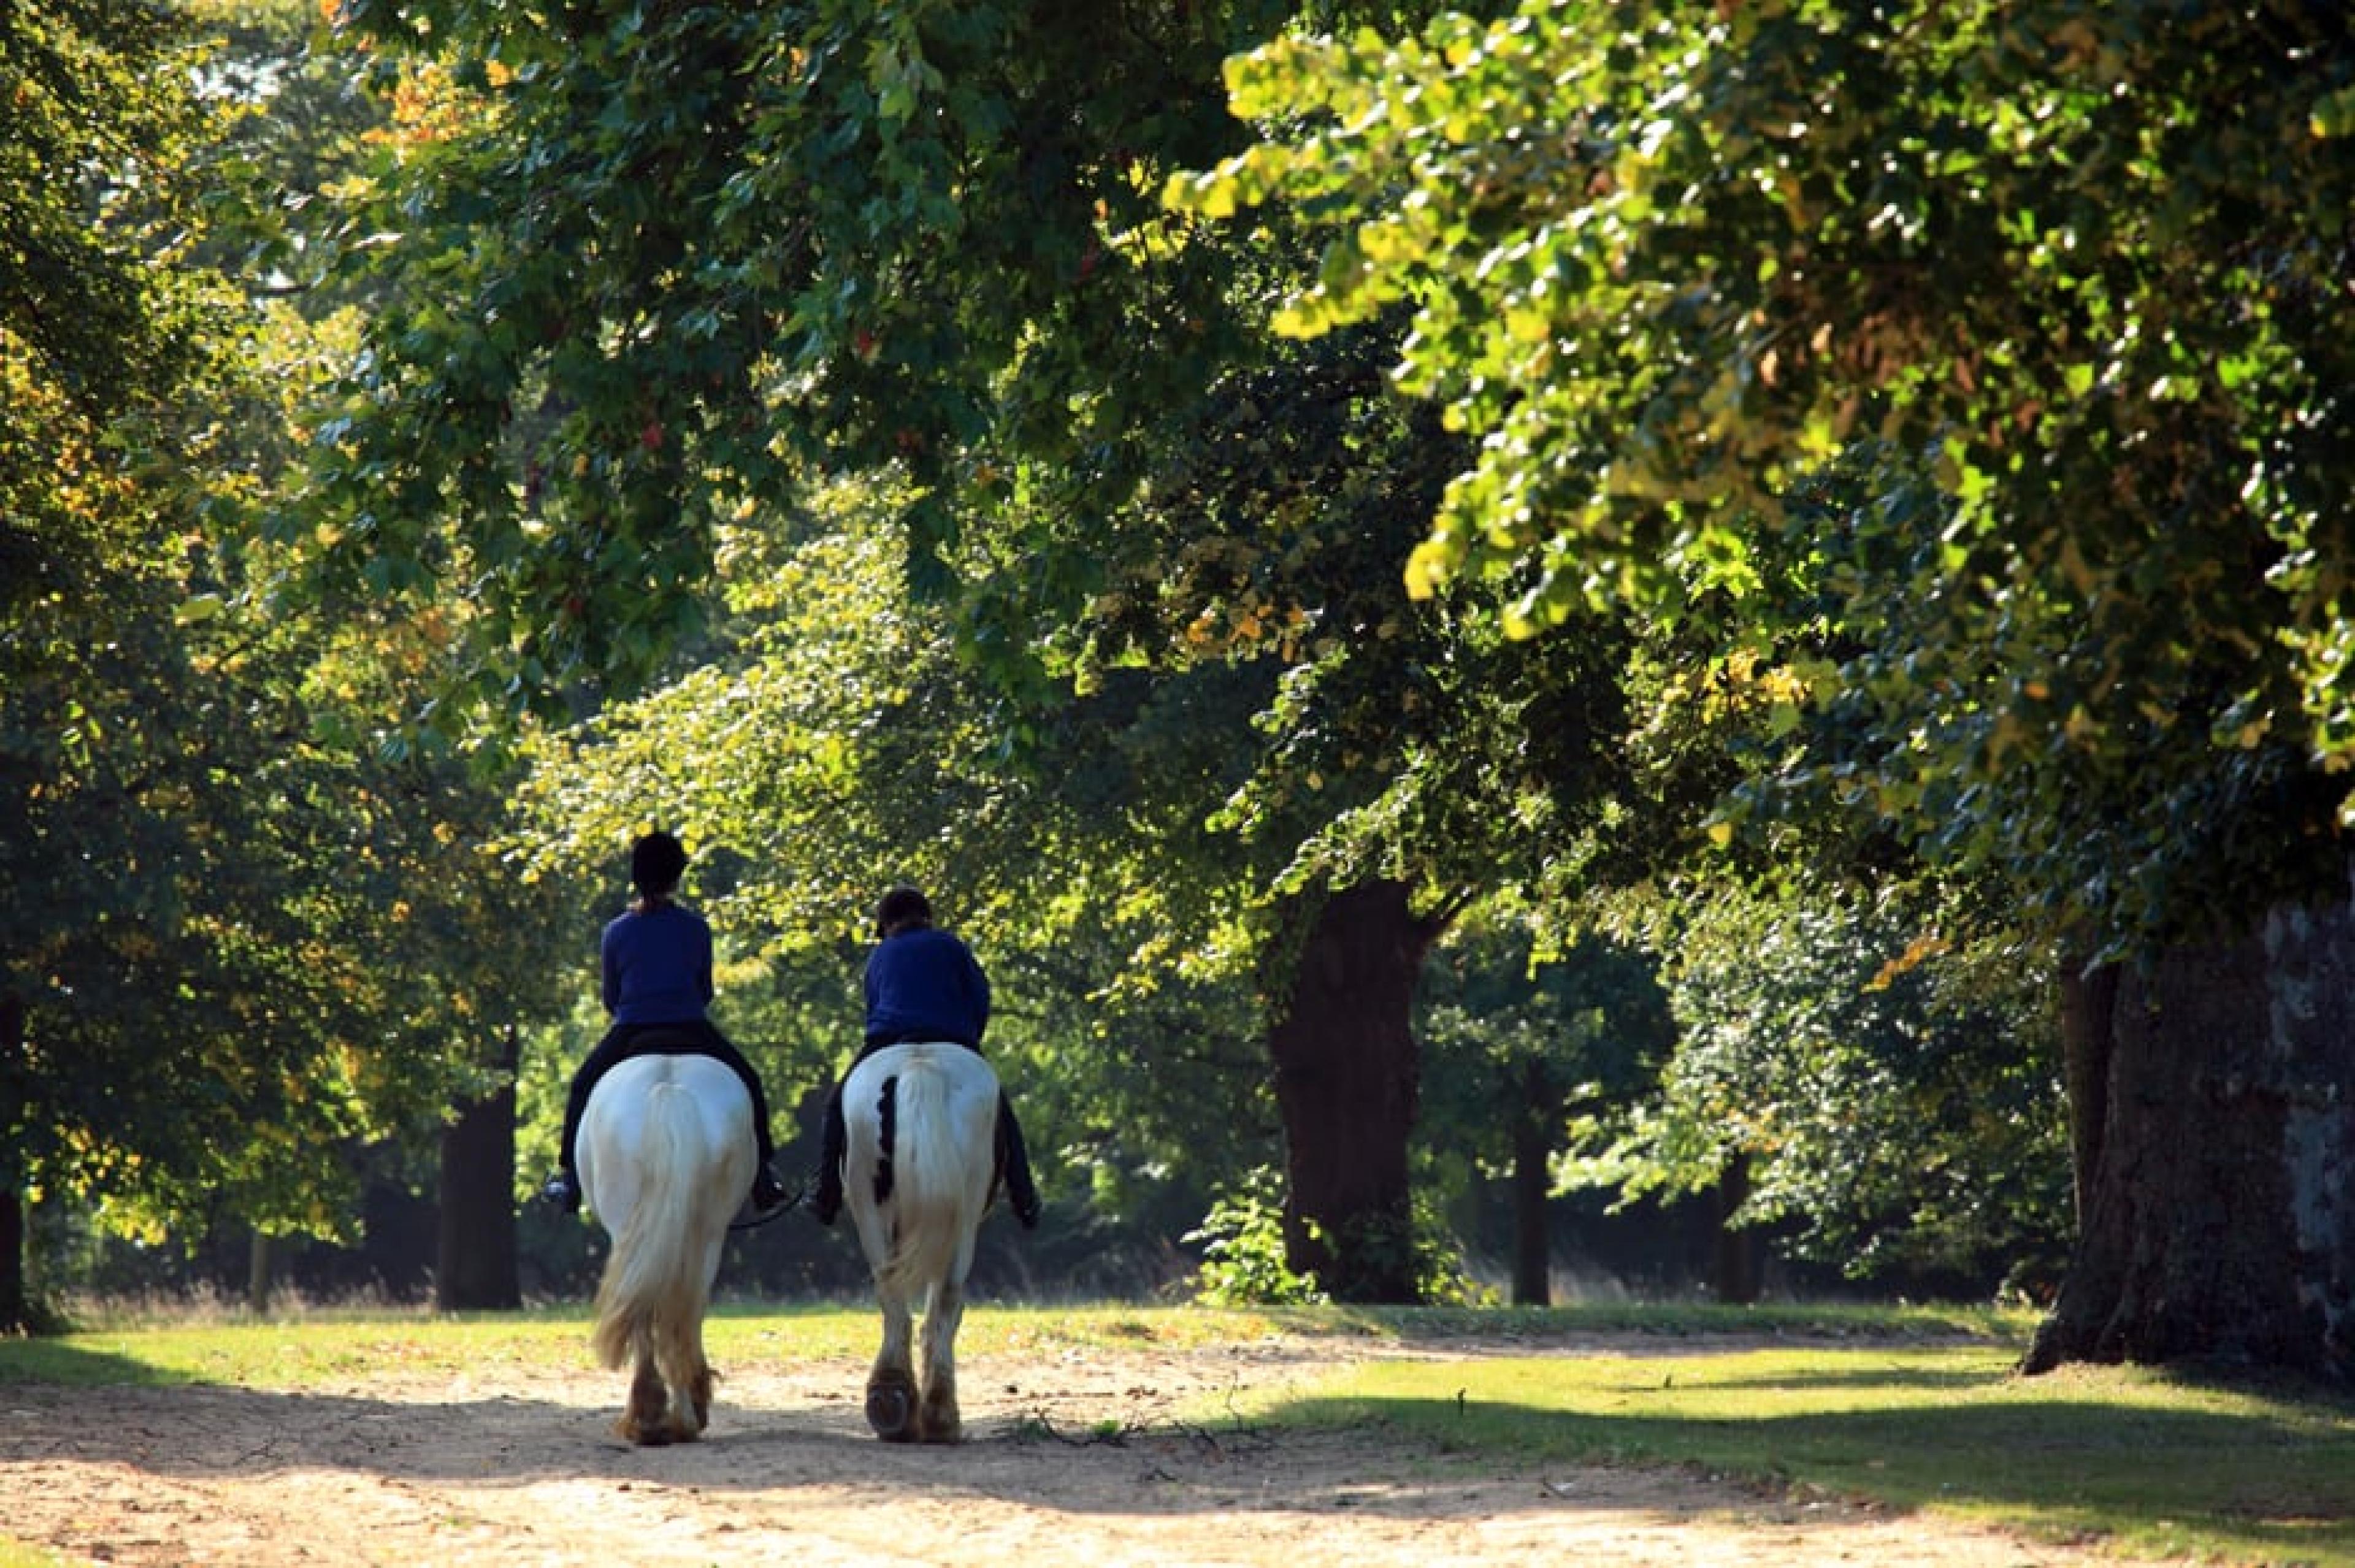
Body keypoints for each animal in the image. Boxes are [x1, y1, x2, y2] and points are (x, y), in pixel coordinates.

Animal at [577, 1049, 756, 1445]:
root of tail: (669, 1089)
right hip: (707, 1232)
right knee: (684, 1307)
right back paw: (679, 1414)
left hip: (638, 1230)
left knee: (654, 1312)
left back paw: (654, 1416)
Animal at [840, 1040, 1004, 1443]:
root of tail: (920, 1062)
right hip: (964, 1220)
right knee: (945, 1299)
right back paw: (941, 1414)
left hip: (871, 1210)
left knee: (891, 1293)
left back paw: (890, 1399)